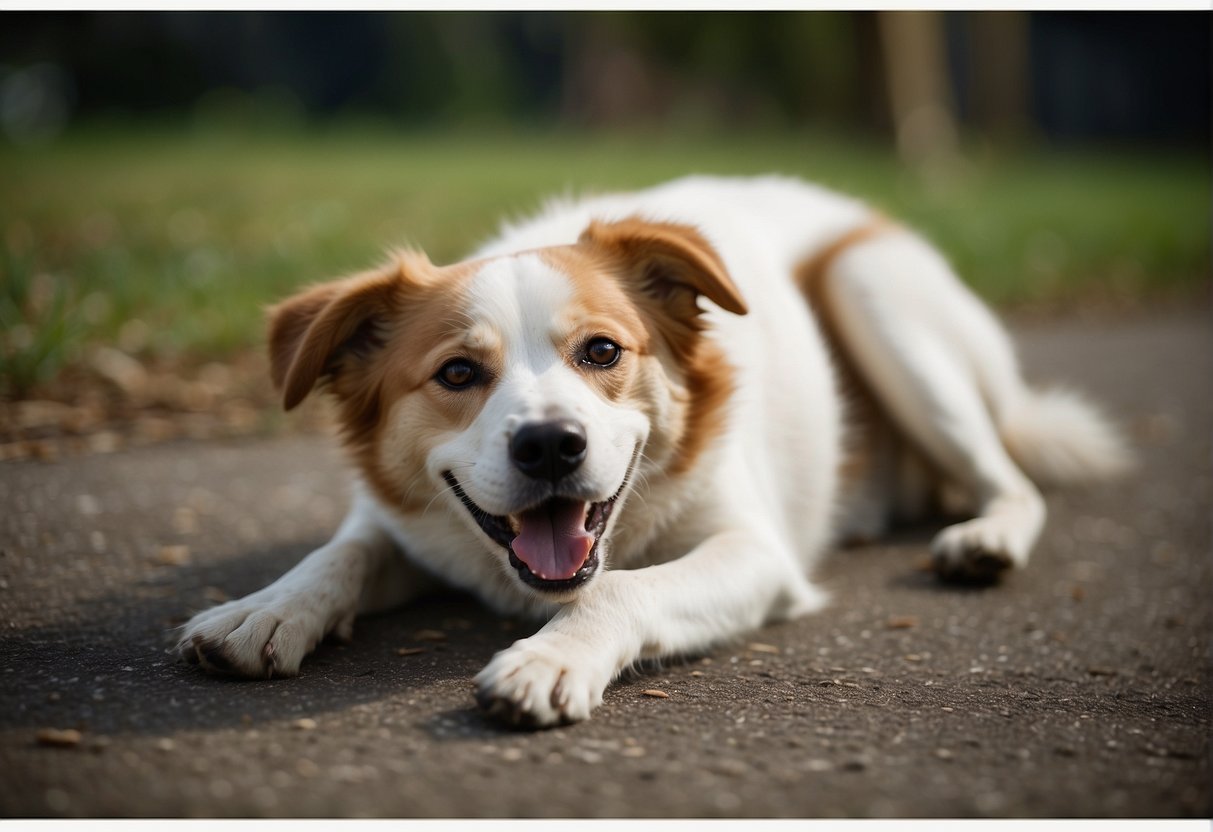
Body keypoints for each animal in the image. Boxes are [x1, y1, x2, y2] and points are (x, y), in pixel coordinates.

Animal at [175, 177, 1130, 727]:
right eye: (456, 372)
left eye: (602, 351)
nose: (550, 447)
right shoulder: (401, 521)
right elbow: (340, 553)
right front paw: (265, 609)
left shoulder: (753, 552)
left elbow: (623, 589)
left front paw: (552, 657)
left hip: (876, 297)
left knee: (1010, 480)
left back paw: (987, 537)